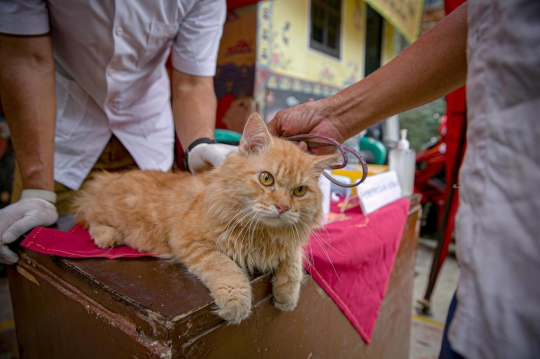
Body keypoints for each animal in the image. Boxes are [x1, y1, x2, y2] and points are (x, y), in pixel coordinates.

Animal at [69, 114, 336, 324]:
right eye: (266, 178)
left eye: (299, 191)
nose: (282, 207)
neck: (262, 233)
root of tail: (110, 177)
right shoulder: (190, 241)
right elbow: (226, 268)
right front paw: (237, 303)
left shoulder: (288, 244)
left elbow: (293, 264)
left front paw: (286, 296)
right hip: (110, 210)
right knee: (87, 216)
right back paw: (107, 236)